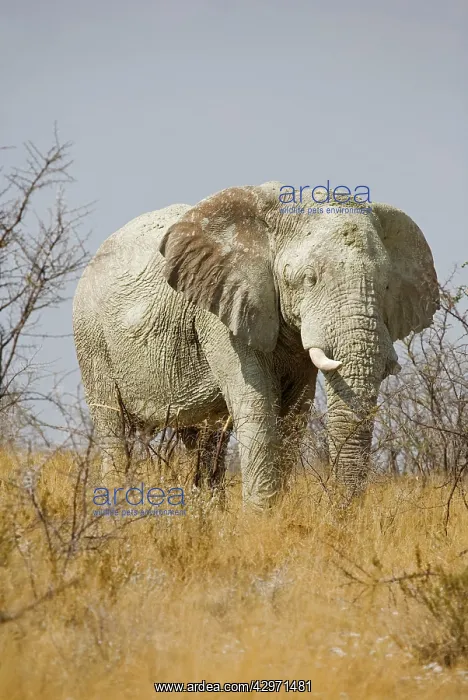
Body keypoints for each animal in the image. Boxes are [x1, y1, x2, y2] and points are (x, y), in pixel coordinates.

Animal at [73, 182, 439, 508]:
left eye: (387, 285)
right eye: (308, 279)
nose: (338, 515)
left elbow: (293, 416)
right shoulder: (224, 311)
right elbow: (257, 407)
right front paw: (259, 518)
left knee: (204, 441)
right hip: (91, 337)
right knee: (113, 427)